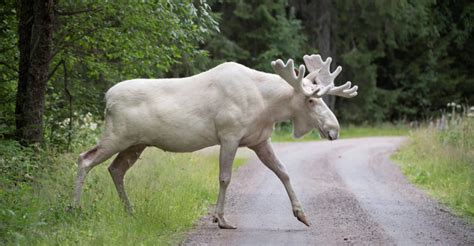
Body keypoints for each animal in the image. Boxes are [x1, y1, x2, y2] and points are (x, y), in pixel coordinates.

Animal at [73, 53, 356, 229]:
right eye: (311, 99)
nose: (334, 129)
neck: (268, 106)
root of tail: (107, 98)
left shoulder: (259, 140)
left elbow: (284, 172)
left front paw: (302, 214)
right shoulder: (229, 135)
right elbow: (225, 177)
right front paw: (221, 219)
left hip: (136, 144)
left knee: (115, 169)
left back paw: (129, 211)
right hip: (117, 136)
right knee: (85, 158)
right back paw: (74, 208)